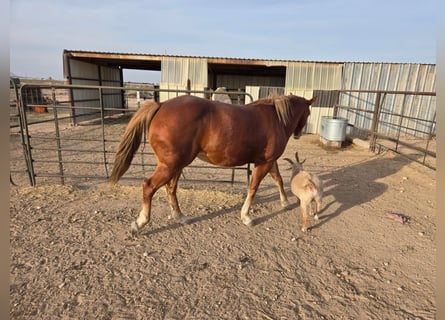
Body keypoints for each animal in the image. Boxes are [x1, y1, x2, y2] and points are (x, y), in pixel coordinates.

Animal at [109, 94, 314, 234]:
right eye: (308, 113)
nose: (299, 134)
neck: (276, 118)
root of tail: (161, 105)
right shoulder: (264, 163)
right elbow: (253, 188)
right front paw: (246, 217)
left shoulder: (269, 161)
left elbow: (278, 179)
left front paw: (285, 203)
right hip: (169, 165)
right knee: (149, 186)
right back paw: (140, 223)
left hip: (177, 164)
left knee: (171, 188)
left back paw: (180, 216)